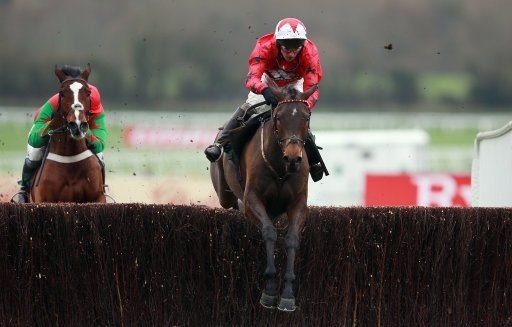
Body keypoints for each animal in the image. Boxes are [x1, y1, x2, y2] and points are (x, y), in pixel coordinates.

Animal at [30, 64, 105, 204]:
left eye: (88, 93)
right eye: (62, 93)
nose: (77, 125)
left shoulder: (98, 198)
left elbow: (100, 142)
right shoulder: (44, 200)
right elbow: (33, 138)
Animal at [210, 82, 318, 312]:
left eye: (306, 117)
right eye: (278, 117)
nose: (293, 158)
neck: (279, 167)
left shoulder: (298, 204)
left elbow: (291, 239)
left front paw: (287, 295)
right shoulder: (253, 199)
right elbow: (269, 232)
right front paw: (269, 292)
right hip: (224, 192)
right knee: (233, 201)